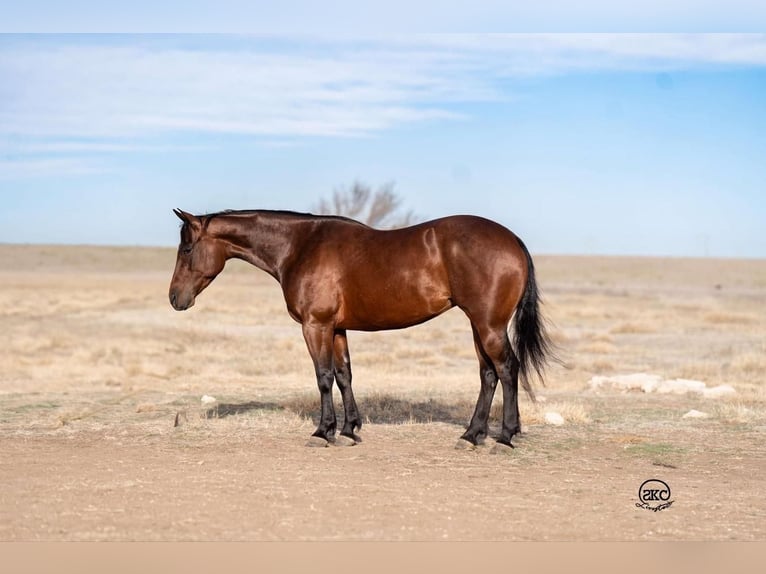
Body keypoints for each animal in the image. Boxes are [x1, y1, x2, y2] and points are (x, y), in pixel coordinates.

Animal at [168, 209, 556, 452]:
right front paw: (349, 429)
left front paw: (323, 432)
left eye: (186, 248)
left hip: (488, 325)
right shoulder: (337, 328)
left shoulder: (316, 326)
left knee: (506, 370)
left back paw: (504, 437)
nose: (174, 298)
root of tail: (512, 239)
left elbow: (323, 377)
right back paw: (472, 435)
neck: (299, 246)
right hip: (478, 325)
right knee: (488, 375)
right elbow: (344, 375)